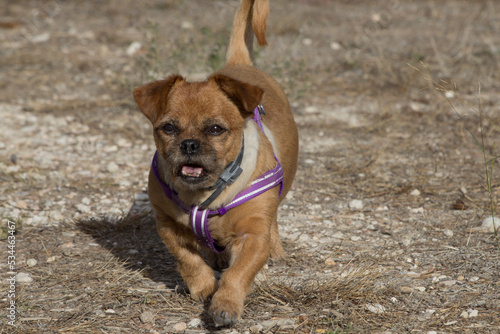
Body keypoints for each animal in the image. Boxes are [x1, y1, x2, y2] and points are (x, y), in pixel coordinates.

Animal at [133, 0, 296, 326]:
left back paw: (275, 249)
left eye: (216, 129)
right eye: (168, 128)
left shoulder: (252, 236)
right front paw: (204, 287)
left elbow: (238, 272)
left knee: (273, 221)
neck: (205, 197)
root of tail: (239, 63)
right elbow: (188, 260)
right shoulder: (168, 225)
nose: (189, 144)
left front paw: (225, 304)